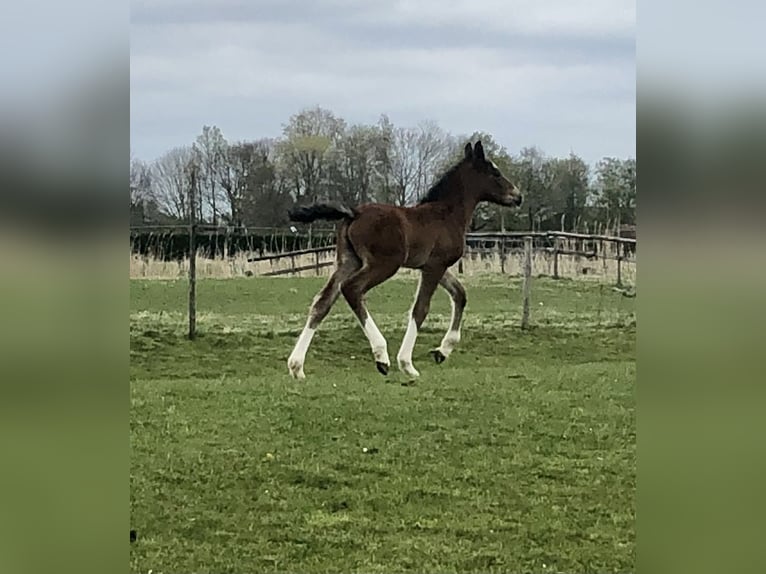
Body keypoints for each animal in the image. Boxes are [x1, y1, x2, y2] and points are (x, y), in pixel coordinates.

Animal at [285, 140, 523, 379]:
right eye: (495, 172)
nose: (518, 196)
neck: (447, 214)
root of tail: (354, 213)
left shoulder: (433, 266)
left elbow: (460, 295)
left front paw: (442, 351)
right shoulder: (435, 266)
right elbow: (420, 309)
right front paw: (407, 363)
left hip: (349, 261)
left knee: (323, 301)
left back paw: (297, 366)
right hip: (384, 264)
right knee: (352, 289)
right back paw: (382, 356)